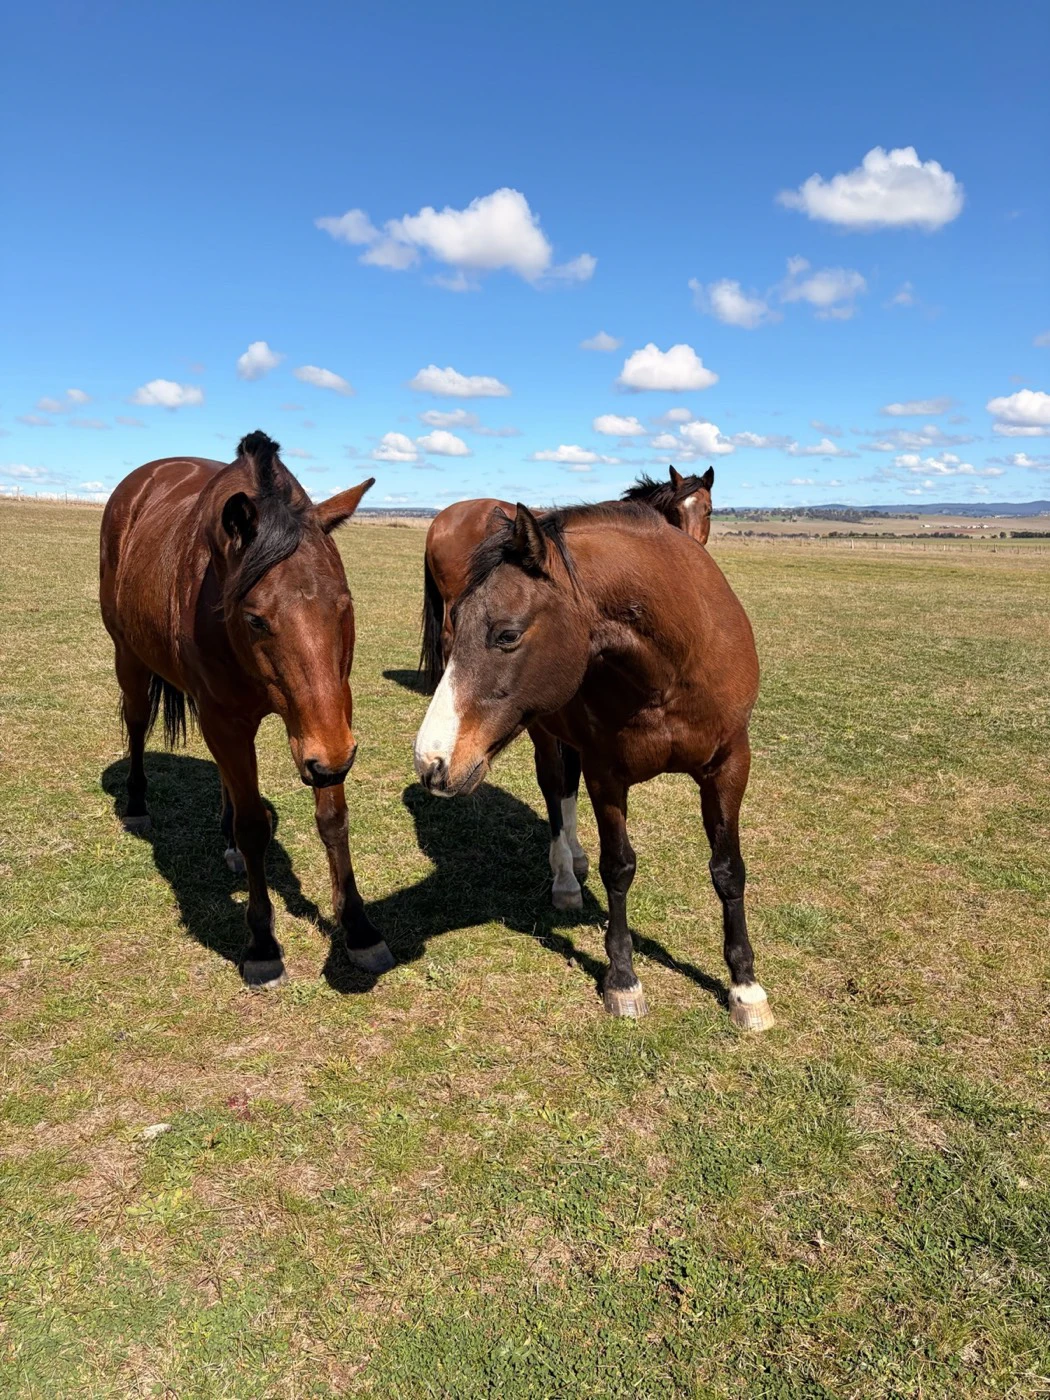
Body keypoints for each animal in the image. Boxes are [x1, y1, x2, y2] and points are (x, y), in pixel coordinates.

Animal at [99, 430, 394, 988]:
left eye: (344, 605)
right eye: (256, 618)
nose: (330, 760)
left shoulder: (329, 717)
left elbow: (333, 818)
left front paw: (361, 930)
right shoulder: (230, 721)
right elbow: (255, 826)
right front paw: (261, 945)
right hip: (130, 659)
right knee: (137, 724)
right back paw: (138, 806)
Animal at [418, 466, 715, 913]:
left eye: (709, 510)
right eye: (680, 512)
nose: (695, 552)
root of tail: (441, 519)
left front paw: (576, 855)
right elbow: (557, 781)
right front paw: (566, 874)